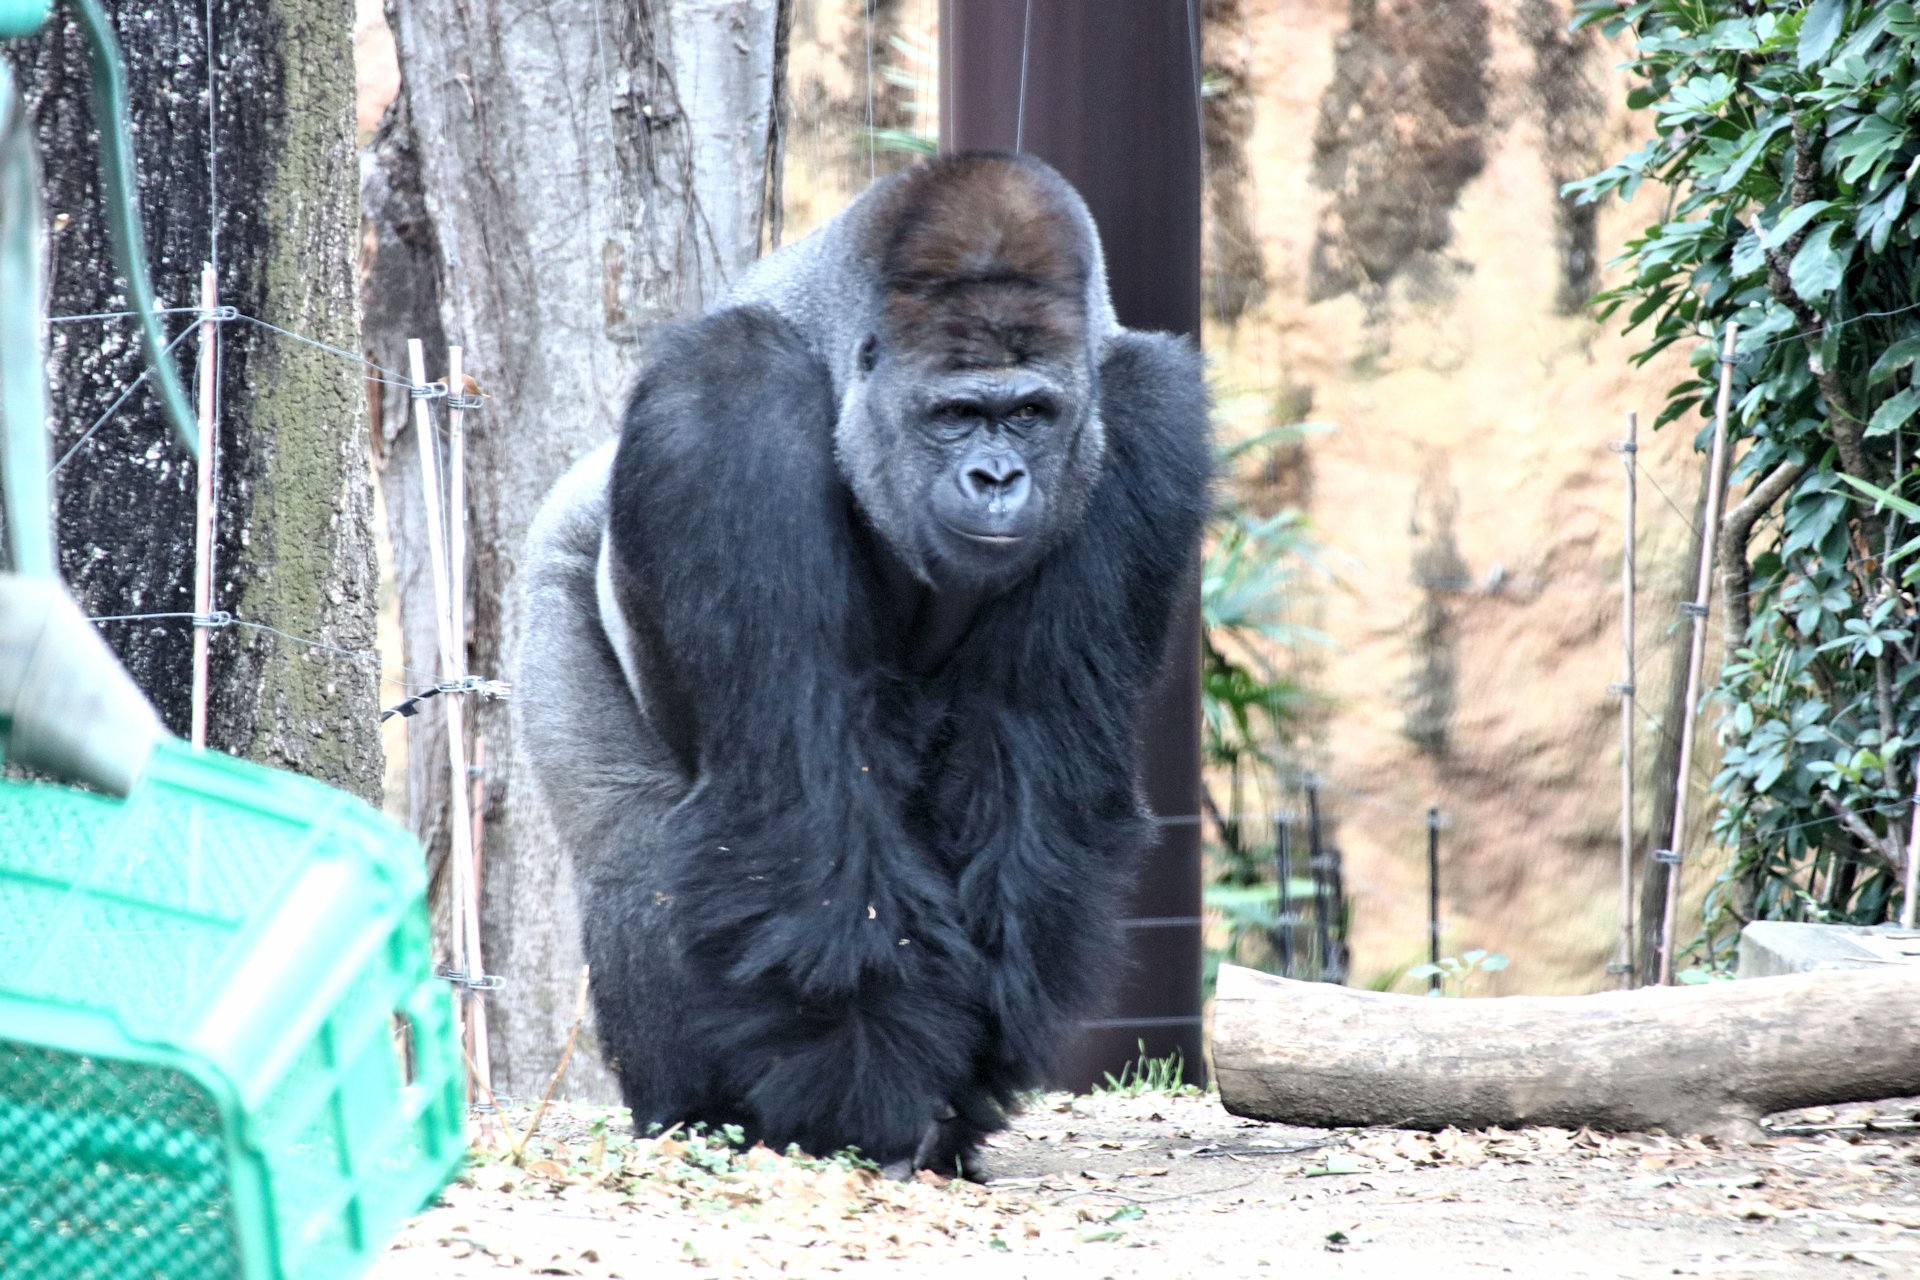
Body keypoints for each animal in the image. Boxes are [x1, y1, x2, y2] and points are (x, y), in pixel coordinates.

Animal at [518, 147, 1205, 1174]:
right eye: (956, 414)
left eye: (1031, 414)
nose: (998, 480)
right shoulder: (728, 406)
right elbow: (799, 805)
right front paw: (862, 1088)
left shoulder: (1147, 421)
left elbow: (1029, 791)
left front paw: (947, 1092)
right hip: (553, 563)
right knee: (631, 845)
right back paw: (695, 1109)